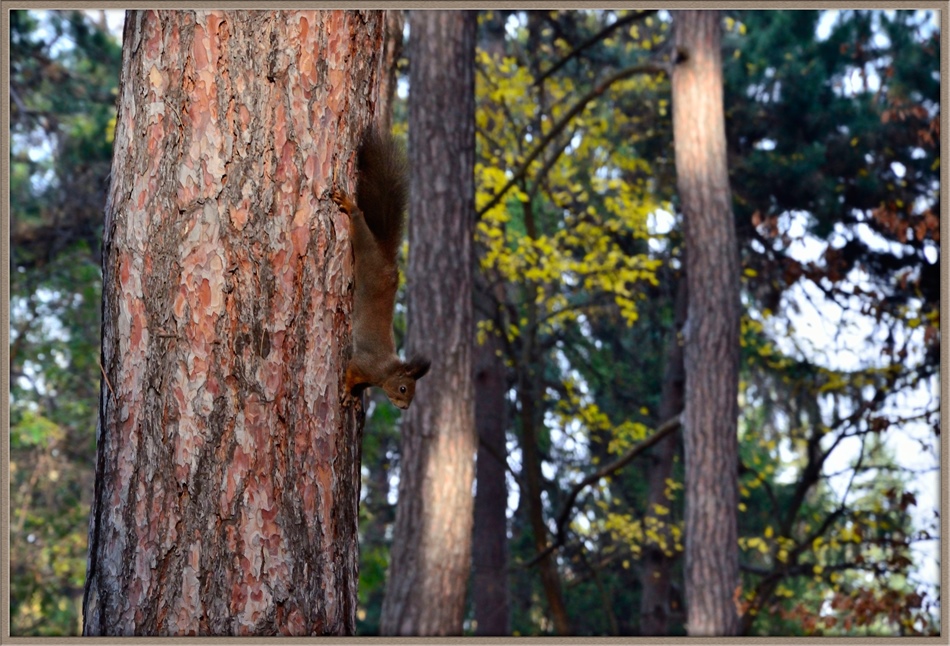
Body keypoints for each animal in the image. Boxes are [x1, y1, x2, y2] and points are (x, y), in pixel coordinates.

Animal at [330, 126, 428, 410]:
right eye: (404, 388)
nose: (404, 408)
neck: (386, 372)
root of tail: (386, 258)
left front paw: (352, 397)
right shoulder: (365, 365)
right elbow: (351, 372)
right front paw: (346, 392)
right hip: (366, 250)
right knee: (359, 222)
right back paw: (350, 206)